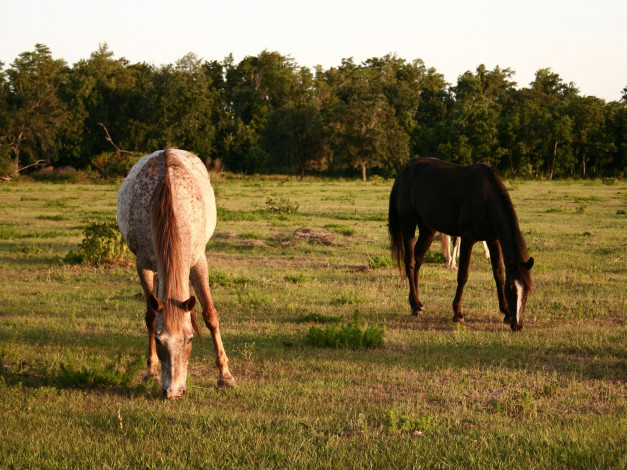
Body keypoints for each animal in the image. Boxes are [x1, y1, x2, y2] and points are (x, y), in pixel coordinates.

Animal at [116, 148, 237, 396]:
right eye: (159, 340)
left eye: (189, 339)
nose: (173, 391)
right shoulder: (143, 264)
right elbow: (151, 316)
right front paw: (150, 371)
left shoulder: (198, 260)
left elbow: (210, 314)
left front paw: (225, 375)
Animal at [390, 158, 532, 330]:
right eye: (511, 289)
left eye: (527, 291)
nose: (517, 325)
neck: (485, 198)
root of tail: (404, 171)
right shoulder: (467, 238)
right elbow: (463, 275)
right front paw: (458, 313)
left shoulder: (493, 239)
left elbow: (498, 274)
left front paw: (506, 312)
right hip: (408, 225)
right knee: (410, 262)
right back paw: (416, 306)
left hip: (428, 229)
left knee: (417, 260)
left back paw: (416, 303)